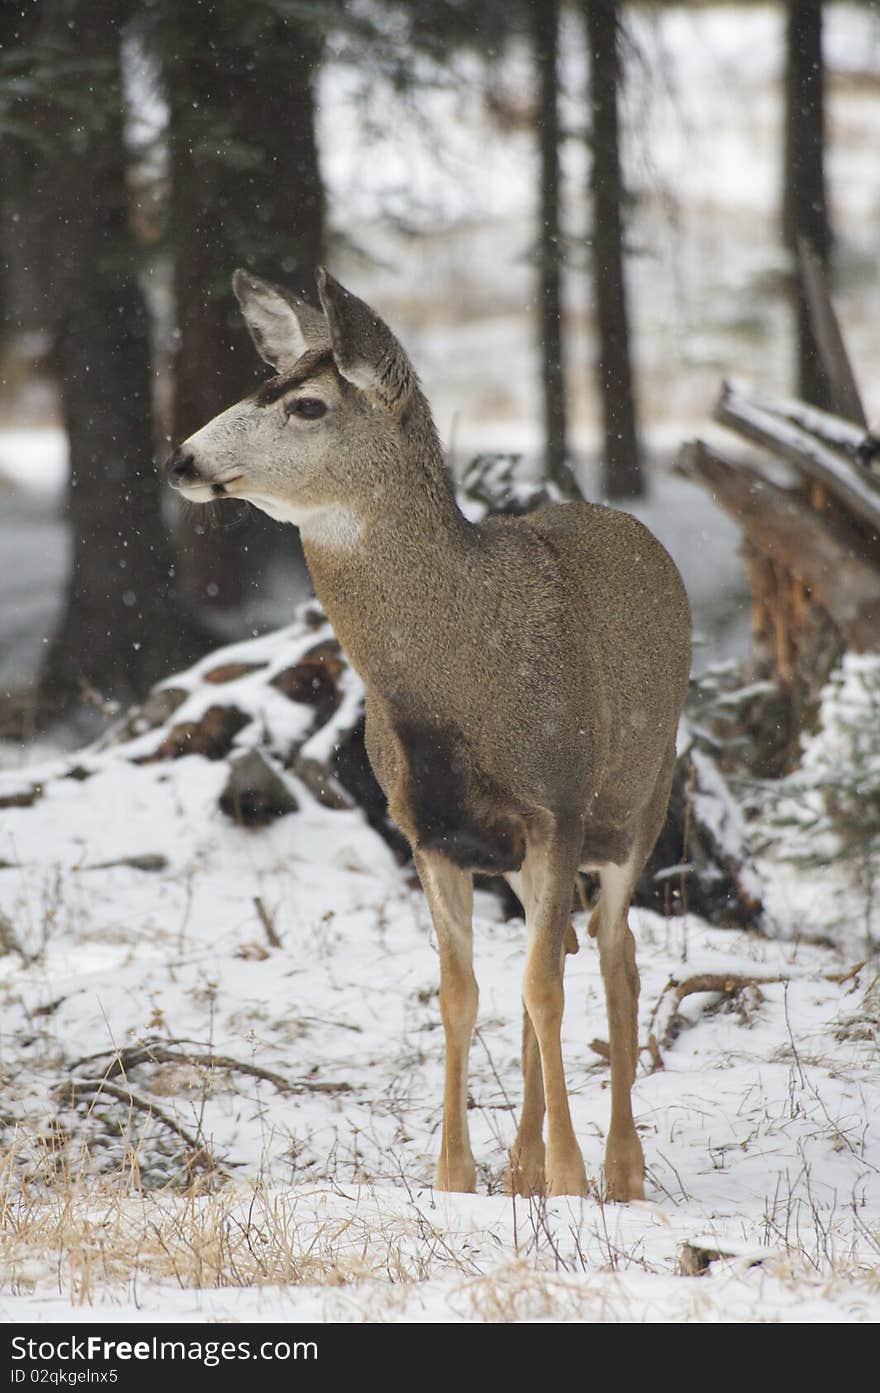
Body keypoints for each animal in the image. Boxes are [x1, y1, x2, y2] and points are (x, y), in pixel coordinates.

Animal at [168, 266, 690, 1203]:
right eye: (263, 379)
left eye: (306, 404)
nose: (180, 457)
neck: (454, 690)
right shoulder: (429, 830)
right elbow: (461, 991)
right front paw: (458, 1177)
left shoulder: (555, 803)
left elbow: (546, 988)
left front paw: (569, 1180)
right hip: (520, 856)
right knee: (566, 948)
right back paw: (522, 1164)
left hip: (642, 798)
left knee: (615, 954)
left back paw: (619, 1170)